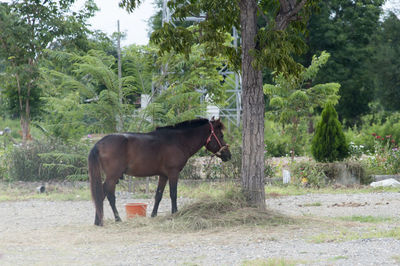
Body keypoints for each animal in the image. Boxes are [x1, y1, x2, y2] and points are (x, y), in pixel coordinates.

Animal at [87, 117, 231, 225]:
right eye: (221, 135)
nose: (228, 155)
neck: (178, 141)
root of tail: (99, 143)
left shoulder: (163, 176)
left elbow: (158, 195)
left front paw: (153, 215)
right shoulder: (173, 173)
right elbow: (173, 194)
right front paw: (175, 213)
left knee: (102, 194)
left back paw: (98, 220)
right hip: (113, 176)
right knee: (107, 194)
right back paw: (116, 219)